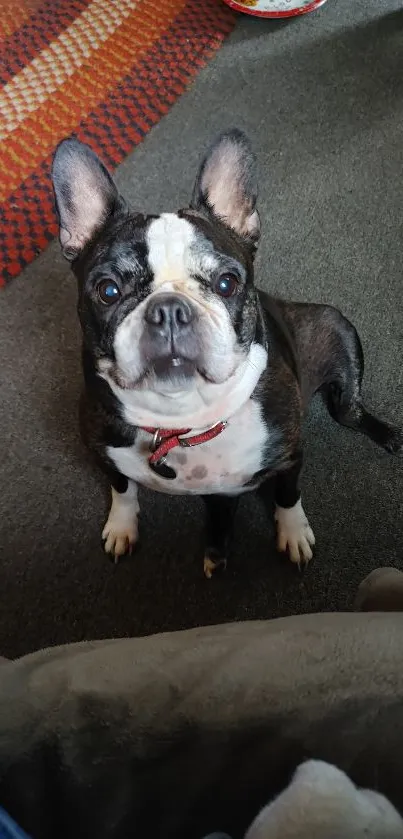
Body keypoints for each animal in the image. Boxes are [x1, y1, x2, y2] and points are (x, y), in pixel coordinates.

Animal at [52, 130, 402, 576]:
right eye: (108, 290)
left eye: (226, 283)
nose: (168, 309)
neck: (181, 420)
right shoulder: (104, 453)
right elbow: (122, 488)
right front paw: (121, 526)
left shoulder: (289, 457)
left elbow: (287, 495)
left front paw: (292, 533)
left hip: (338, 331)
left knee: (351, 411)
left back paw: (387, 434)